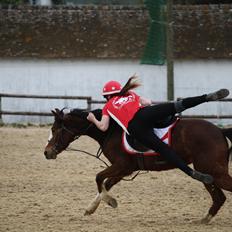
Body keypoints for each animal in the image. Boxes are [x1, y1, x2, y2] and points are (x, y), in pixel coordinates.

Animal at [43, 109, 232, 223]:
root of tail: (220, 131)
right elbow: (105, 184)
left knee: (221, 195)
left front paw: (110, 201)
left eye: (54, 130)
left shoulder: (121, 166)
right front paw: (91, 208)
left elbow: (99, 178)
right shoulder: (124, 169)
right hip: (206, 173)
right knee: (219, 198)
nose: (46, 152)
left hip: (214, 171)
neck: (111, 130)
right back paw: (203, 219)